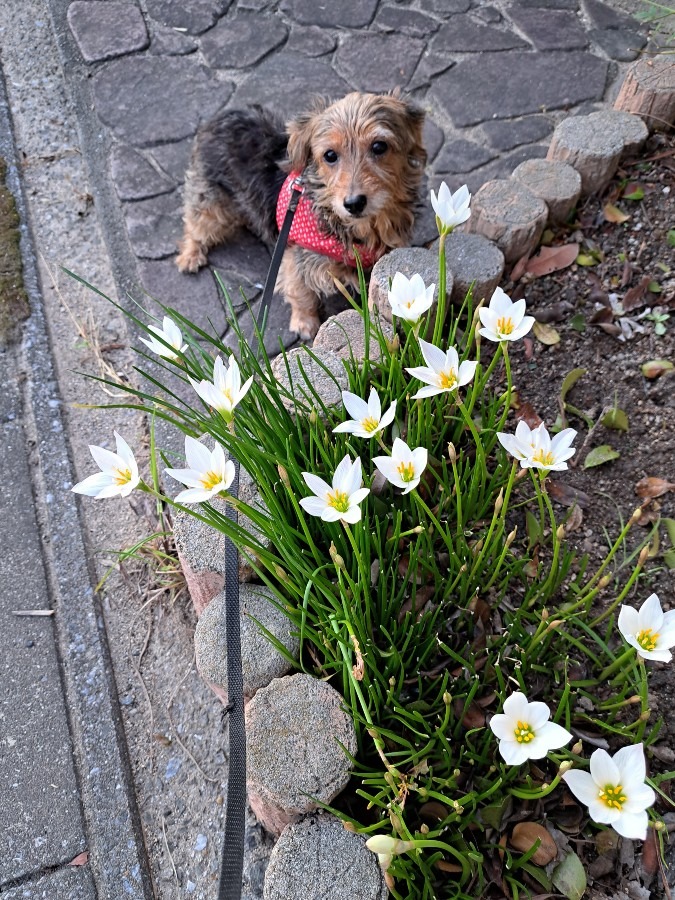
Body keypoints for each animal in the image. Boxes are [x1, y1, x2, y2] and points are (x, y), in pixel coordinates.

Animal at [177, 92, 426, 342]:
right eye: (330, 155)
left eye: (379, 146)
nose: (354, 203)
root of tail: (222, 114)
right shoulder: (295, 256)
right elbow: (300, 292)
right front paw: (305, 322)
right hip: (209, 199)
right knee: (195, 224)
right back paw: (190, 255)